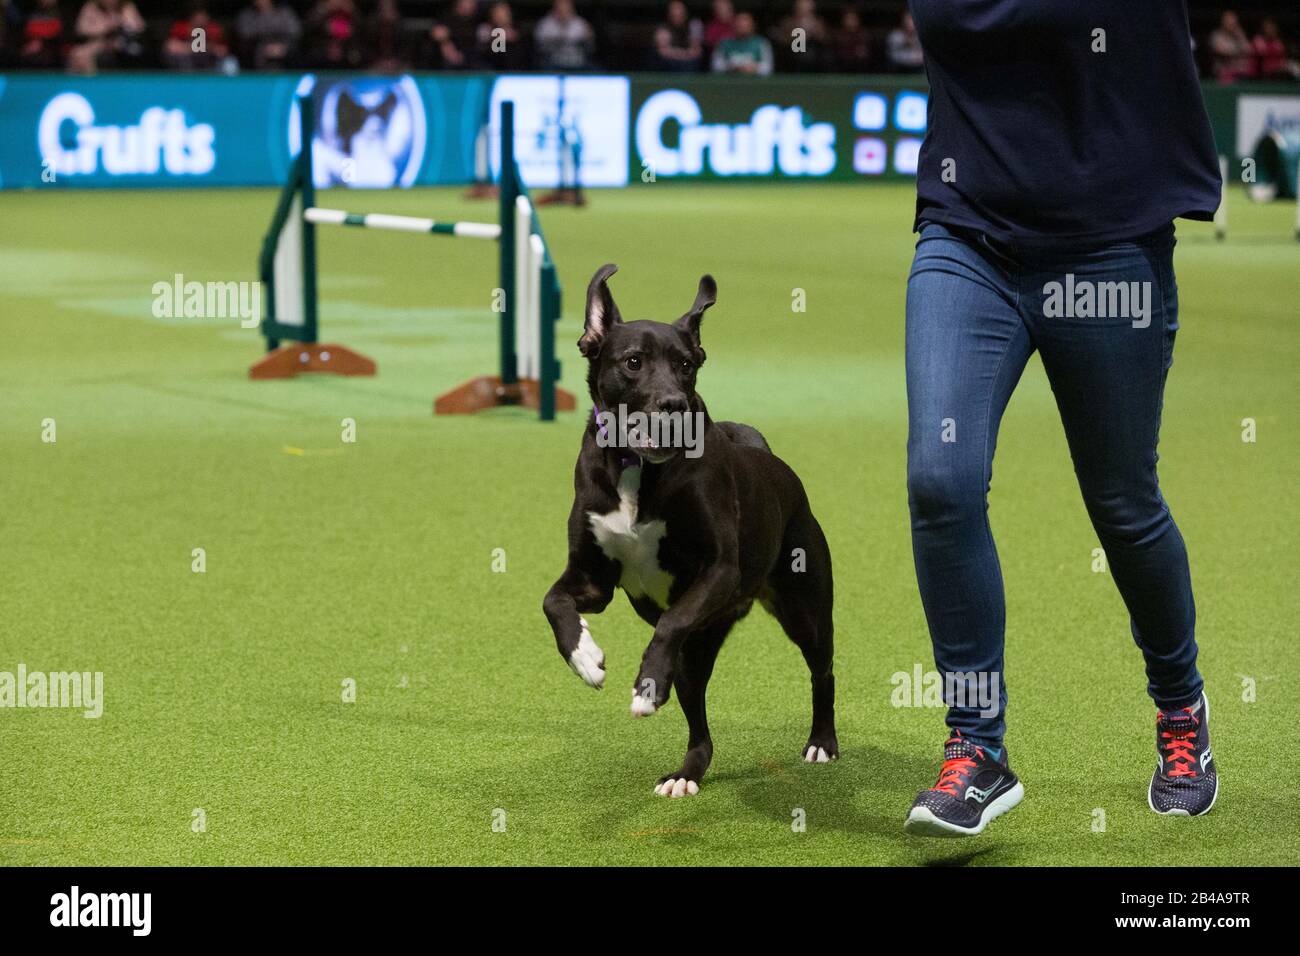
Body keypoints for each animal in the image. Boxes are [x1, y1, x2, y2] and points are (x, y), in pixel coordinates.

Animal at [540, 265, 837, 796]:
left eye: (686, 364)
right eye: (633, 361)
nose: (674, 403)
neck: (636, 469)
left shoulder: (717, 571)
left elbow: (671, 621)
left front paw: (644, 686)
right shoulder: (591, 581)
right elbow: (554, 602)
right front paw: (585, 657)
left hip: (804, 608)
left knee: (822, 671)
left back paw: (822, 742)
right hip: (697, 653)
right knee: (699, 725)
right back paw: (685, 773)